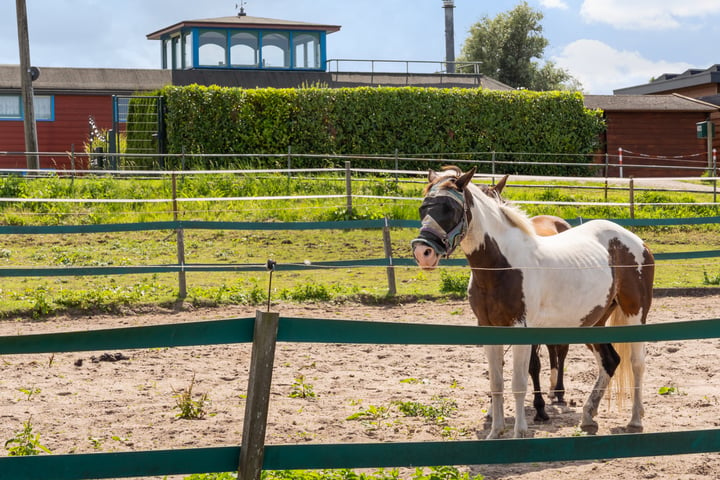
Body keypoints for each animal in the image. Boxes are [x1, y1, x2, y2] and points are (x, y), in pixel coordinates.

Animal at [410, 168, 652, 438]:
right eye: (423, 207)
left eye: (450, 208)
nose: (423, 252)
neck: (501, 265)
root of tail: (635, 240)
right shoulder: (488, 328)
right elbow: (496, 382)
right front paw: (495, 432)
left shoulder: (520, 330)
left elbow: (519, 382)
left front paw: (520, 432)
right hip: (593, 322)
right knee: (610, 362)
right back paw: (589, 417)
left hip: (635, 315)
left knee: (637, 363)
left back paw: (635, 421)